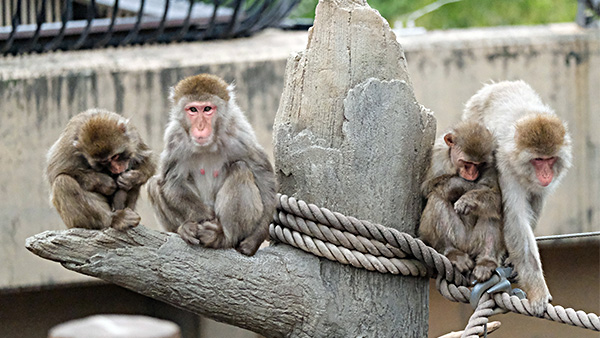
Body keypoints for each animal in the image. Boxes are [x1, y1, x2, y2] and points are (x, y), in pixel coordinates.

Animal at [146, 72, 278, 255]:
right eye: (193, 109)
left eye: (207, 109)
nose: (201, 127)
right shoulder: (174, 139)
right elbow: (172, 181)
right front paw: (204, 216)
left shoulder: (239, 134)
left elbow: (262, 174)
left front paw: (255, 238)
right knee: (153, 184)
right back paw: (184, 229)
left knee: (240, 169)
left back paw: (222, 238)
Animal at [418, 120, 506, 282]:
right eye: (466, 163)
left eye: (479, 164)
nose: (472, 174)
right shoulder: (438, 155)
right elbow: (426, 190)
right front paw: (459, 184)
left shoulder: (494, 163)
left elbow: (499, 198)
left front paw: (468, 199)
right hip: (459, 238)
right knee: (437, 198)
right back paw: (452, 252)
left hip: (475, 243)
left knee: (492, 212)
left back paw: (486, 261)